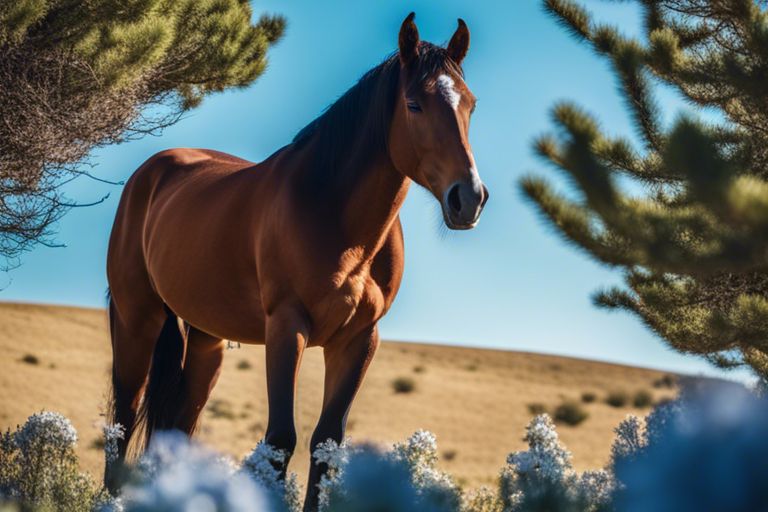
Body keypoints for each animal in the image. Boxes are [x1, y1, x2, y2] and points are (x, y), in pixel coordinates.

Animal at [105, 12, 487, 510]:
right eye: (414, 104)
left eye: (470, 105)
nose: (469, 198)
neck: (335, 214)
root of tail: (149, 173)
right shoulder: (288, 327)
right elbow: (280, 441)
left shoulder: (359, 340)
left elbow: (327, 445)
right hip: (138, 320)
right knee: (123, 418)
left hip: (207, 340)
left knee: (177, 428)